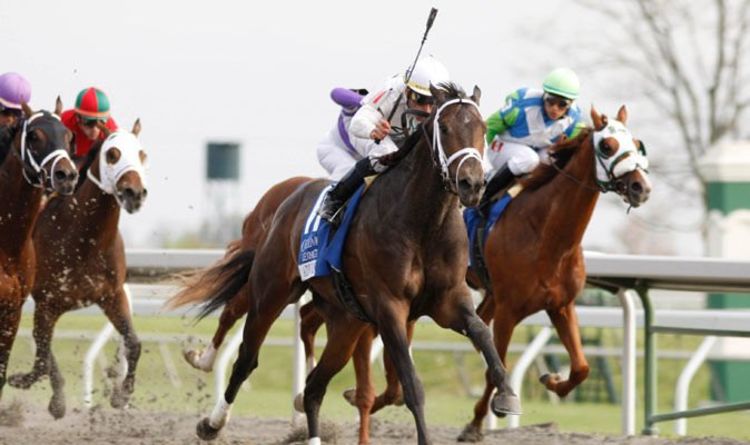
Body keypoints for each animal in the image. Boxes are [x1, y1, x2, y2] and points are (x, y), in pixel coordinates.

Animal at [7, 120, 149, 418]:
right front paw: (48, 396)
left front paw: (121, 394)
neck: (84, 239)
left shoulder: (112, 295)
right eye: (112, 154)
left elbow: (134, 343)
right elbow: (41, 356)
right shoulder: (47, 303)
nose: (135, 193)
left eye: (142, 154)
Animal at [184, 84, 520, 445]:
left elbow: (482, 333)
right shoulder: (390, 309)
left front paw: (507, 395)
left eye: (482, 128)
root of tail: (284, 204)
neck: (423, 225)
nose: (472, 184)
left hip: (346, 321)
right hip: (272, 293)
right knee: (247, 358)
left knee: (314, 387)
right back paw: (211, 422)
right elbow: (412, 387)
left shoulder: (448, 302)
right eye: (443, 128)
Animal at [457, 105, 652, 442]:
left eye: (636, 143)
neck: (546, 234)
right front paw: (477, 422)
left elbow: (582, 367)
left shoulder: (561, 305)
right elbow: (497, 368)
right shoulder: (509, 311)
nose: (641, 187)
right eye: (607, 146)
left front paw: (551, 380)